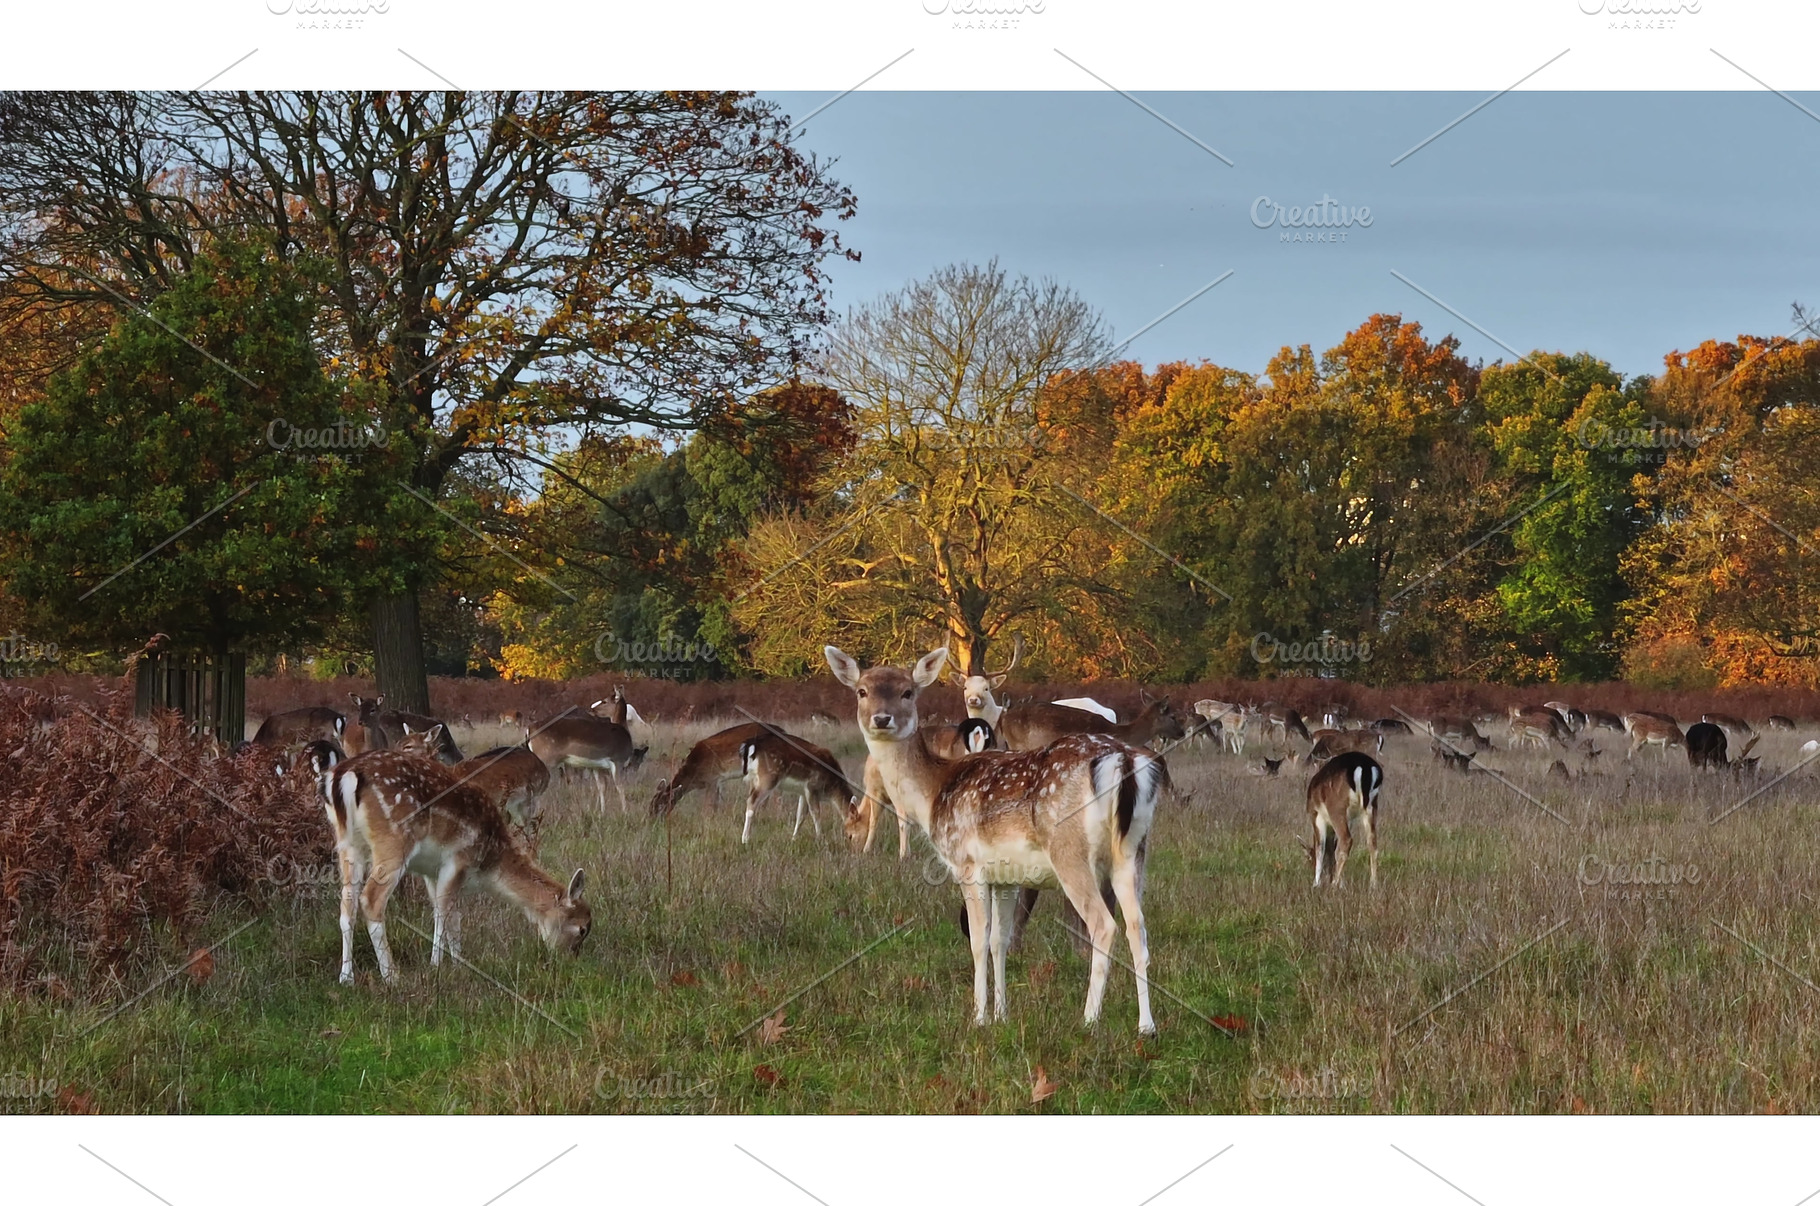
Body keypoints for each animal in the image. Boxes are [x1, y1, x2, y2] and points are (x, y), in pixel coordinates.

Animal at [302, 741, 591, 985]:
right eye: (582, 929)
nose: (571, 959)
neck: (489, 863)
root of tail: (342, 776)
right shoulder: (458, 859)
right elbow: (443, 912)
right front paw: (437, 965)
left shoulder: (431, 871)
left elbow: (452, 915)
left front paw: (459, 961)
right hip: (393, 840)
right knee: (371, 899)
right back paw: (392, 976)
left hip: (347, 842)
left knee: (346, 904)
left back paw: (346, 977)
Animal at [827, 645, 1163, 1034]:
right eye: (861, 691)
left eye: (907, 692)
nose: (882, 719)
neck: (933, 794)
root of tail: (1123, 762)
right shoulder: (1007, 877)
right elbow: (999, 940)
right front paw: (1003, 1013)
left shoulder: (967, 864)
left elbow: (977, 940)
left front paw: (979, 1016)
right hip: (1133, 849)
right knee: (1138, 930)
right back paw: (1147, 1026)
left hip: (1070, 851)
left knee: (1104, 925)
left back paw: (1089, 1019)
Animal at [1301, 751, 1383, 888]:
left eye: (1309, 857)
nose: (1327, 877)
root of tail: (1365, 767)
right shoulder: (1349, 819)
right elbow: (1332, 848)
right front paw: (1341, 882)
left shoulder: (1316, 814)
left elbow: (1320, 847)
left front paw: (1316, 883)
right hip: (1372, 805)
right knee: (1372, 842)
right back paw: (1373, 884)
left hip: (1336, 807)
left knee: (1346, 839)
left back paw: (1334, 884)